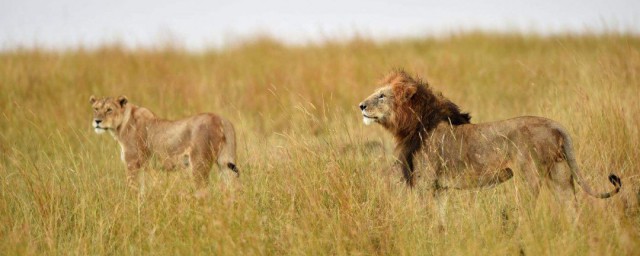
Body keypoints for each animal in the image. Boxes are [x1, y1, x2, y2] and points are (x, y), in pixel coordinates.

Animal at [90, 95, 240, 195]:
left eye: (109, 110)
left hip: (199, 164)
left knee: (204, 191)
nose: (97, 121)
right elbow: (142, 189)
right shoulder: (142, 165)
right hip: (224, 163)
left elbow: (132, 187)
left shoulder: (132, 163)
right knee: (232, 186)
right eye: (96, 109)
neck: (119, 126)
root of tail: (221, 118)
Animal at [358, 70, 624, 222]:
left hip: (528, 177)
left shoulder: (425, 183)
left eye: (381, 96)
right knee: (571, 208)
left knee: (530, 211)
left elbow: (424, 217)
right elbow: (441, 219)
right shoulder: (439, 188)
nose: (361, 105)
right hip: (560, 173)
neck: (414, 124)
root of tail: (555, 124)